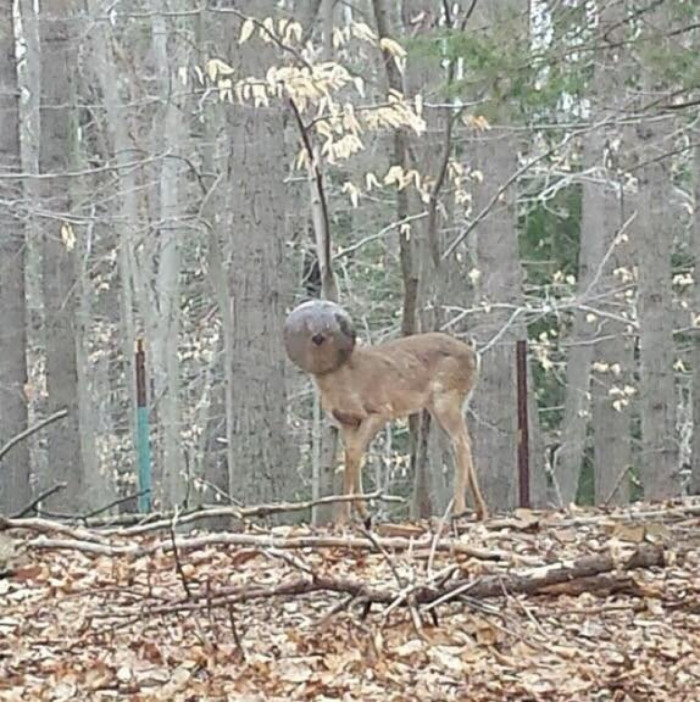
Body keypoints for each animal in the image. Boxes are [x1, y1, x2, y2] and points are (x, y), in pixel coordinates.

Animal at [284, 300, 486, 524]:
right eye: (309, 326)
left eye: (332, 326)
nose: (319, 336)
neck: (343, 381)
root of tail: (474, 356)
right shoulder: (347, 422)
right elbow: (352, 454)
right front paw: (362, 515)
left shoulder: (380, 410)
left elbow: (354, 453)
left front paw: (344, 519)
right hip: (452, 402)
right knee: (463, 442)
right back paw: (480, 511)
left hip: (445, 398)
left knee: (462, 443)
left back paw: (458, 510)